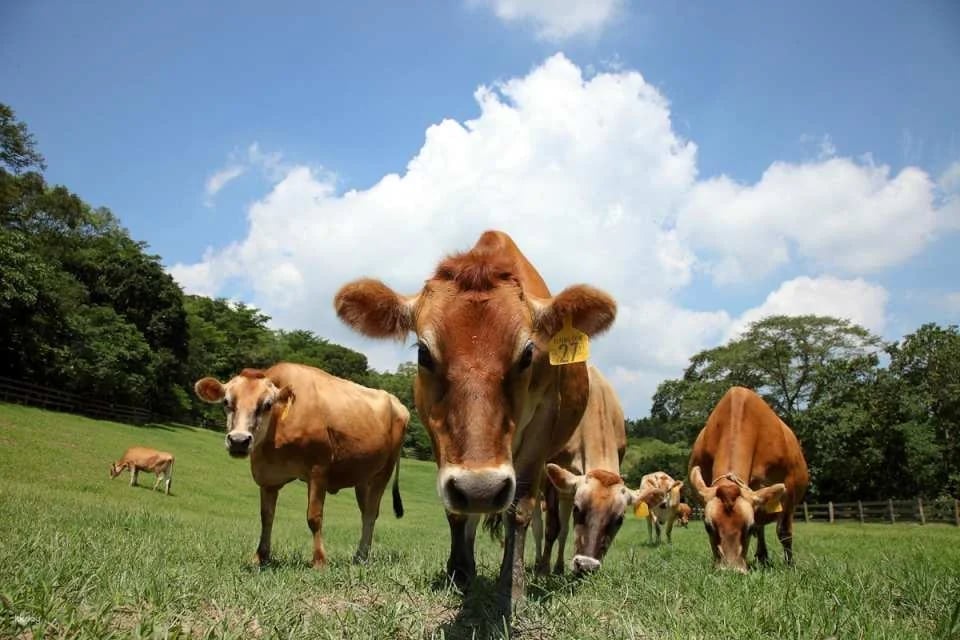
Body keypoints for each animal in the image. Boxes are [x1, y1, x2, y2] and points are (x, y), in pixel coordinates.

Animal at [194, 363, 409, 567]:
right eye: (226, 402)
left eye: (267, 404)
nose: (239, 440)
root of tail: (397, 403)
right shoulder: (267, 477)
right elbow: (266, 516)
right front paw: (260, 557)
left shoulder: (318, 470)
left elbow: (314, 517)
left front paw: (319, 560)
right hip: (362, 476)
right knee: (367, 513)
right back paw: (360, 556)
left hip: (383, 471)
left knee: (371, 514)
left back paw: (361, 556)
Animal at [334, 230, 616, 612]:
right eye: (424, 353)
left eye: (528, 353)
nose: (480, 487)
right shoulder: (438, 435)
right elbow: (457, 511)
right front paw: (459, 571)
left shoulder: (541, 429)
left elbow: (519, 509)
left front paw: (511, 586)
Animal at [535, 366, 639, 574]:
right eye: (578, 508)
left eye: (620, 519)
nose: (585, 565)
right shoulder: (551, 482)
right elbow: (551, 527)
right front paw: (543, 570)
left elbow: (563, 530)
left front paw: (557, 568)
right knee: (537, 526)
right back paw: (537, 562)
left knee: (564, 530)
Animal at [688, 386, 809, 573]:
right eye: (708, 527)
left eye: (748, 527)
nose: (731, 570)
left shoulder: (790, 490)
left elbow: (783, 532)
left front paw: (790, 565)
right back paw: (762, 556)